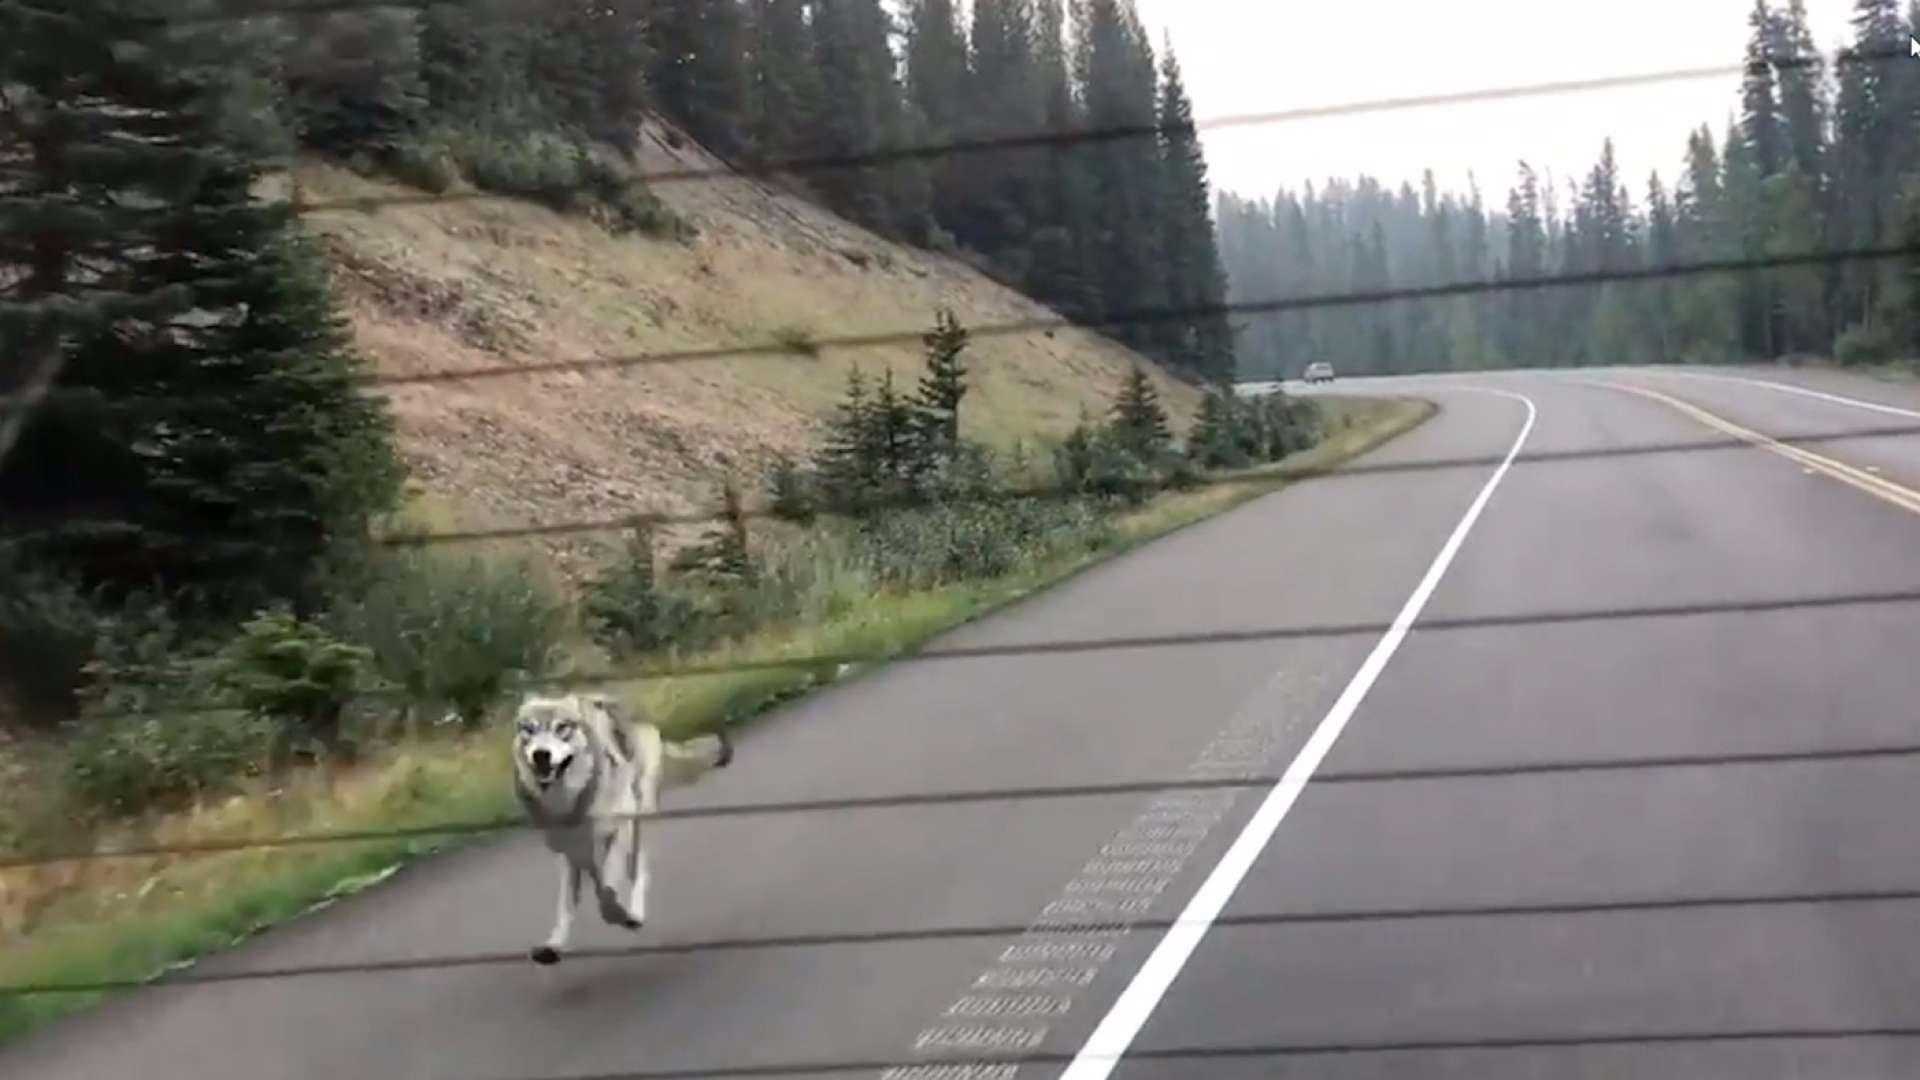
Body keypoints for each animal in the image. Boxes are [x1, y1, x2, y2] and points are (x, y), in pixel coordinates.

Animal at [511, 691, 733, 965]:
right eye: (528, 729)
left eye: (562, 728)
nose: (540, 754)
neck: (567, 802)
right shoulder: (571, 852)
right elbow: (567, 905)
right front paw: (553, 945)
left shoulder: (617, 832)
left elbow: (607, 891)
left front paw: (621, 913)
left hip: (639, 819)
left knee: (638, 872)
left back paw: (634, 912)